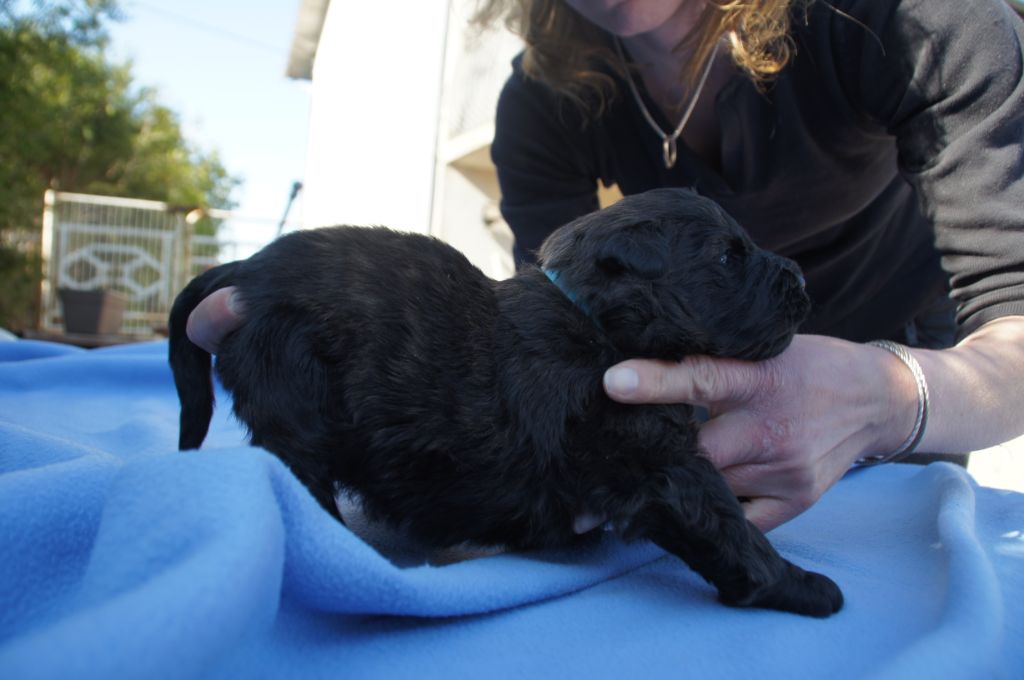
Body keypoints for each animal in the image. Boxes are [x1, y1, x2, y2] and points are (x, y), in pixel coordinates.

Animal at [165, 188, 839, 618]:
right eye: (728, 256)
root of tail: (244, 272)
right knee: (298, 481)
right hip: (297, 405)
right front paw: (807, 588)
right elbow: (730, 530)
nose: (803, 281)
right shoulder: (661, 462)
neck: (596, 323)